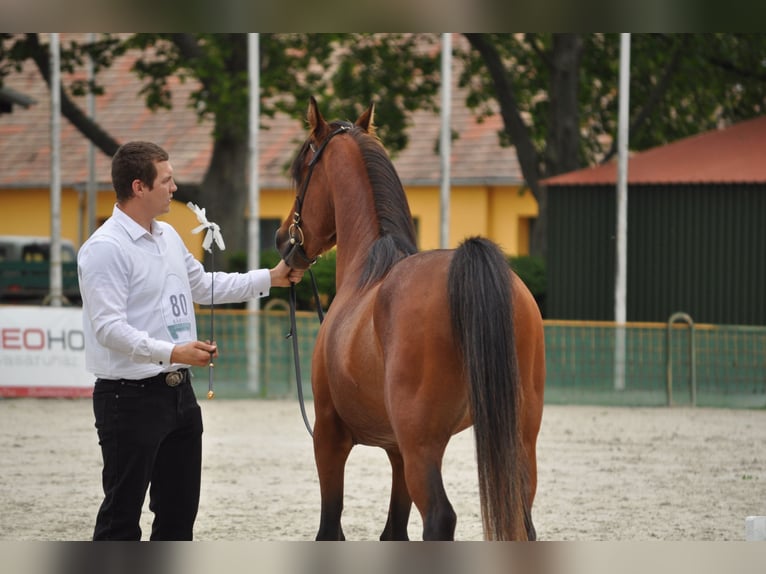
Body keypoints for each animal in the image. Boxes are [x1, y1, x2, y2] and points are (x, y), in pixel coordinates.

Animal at [276, 97, 546, 541]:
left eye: (301, 173)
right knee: (521, 516)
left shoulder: (330, 434)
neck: (368, 269)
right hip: (517, 435)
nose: (283, 239)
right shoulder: (396, 448)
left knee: (440, 517)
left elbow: (330, 525)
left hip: (423, 445)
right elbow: (393, 531)